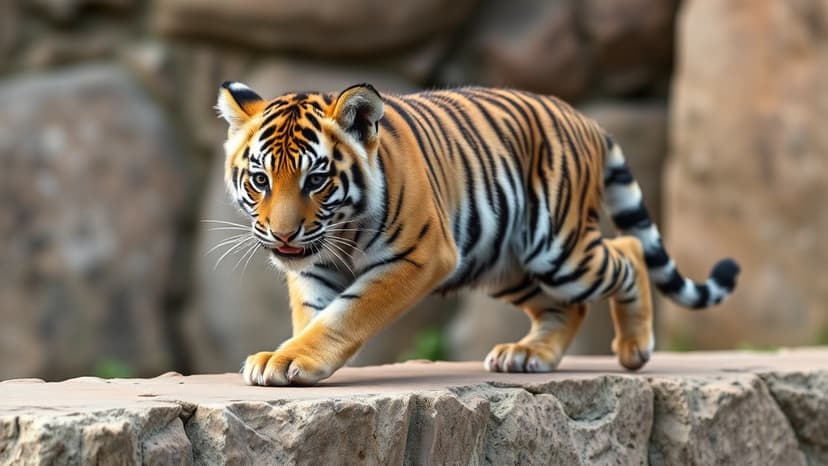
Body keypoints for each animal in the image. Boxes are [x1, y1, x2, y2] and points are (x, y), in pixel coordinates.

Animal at [215, 81, 740, 386]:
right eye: (260, 179)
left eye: (316, 180)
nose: (283, 235)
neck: (339, 230)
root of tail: (586, 120)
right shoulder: (314, 267)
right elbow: (314, 313)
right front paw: (286, 356)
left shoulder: (421, 255)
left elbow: (346, 314)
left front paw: (291, 360)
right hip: (505, 262)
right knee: (568, 305)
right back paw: (527, 355)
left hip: (559, 248)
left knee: (627, 250)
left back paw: (634, 349)